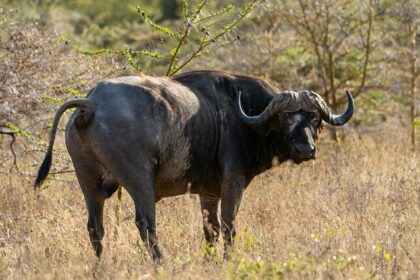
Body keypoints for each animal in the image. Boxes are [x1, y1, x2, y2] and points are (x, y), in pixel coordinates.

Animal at [34, 70, 352, 260]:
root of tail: (92, 102)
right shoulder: (233, 183)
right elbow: (229, 226)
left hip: (88, 182)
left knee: (95, 227)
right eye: (286, 118)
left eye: (314, 118)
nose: (305, 149)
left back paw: (102, 265)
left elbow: (210, 229)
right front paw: (228, 260)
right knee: (146, 223)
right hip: (138, 179)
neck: (245, 115)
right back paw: (160, 262)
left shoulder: (208, 193)